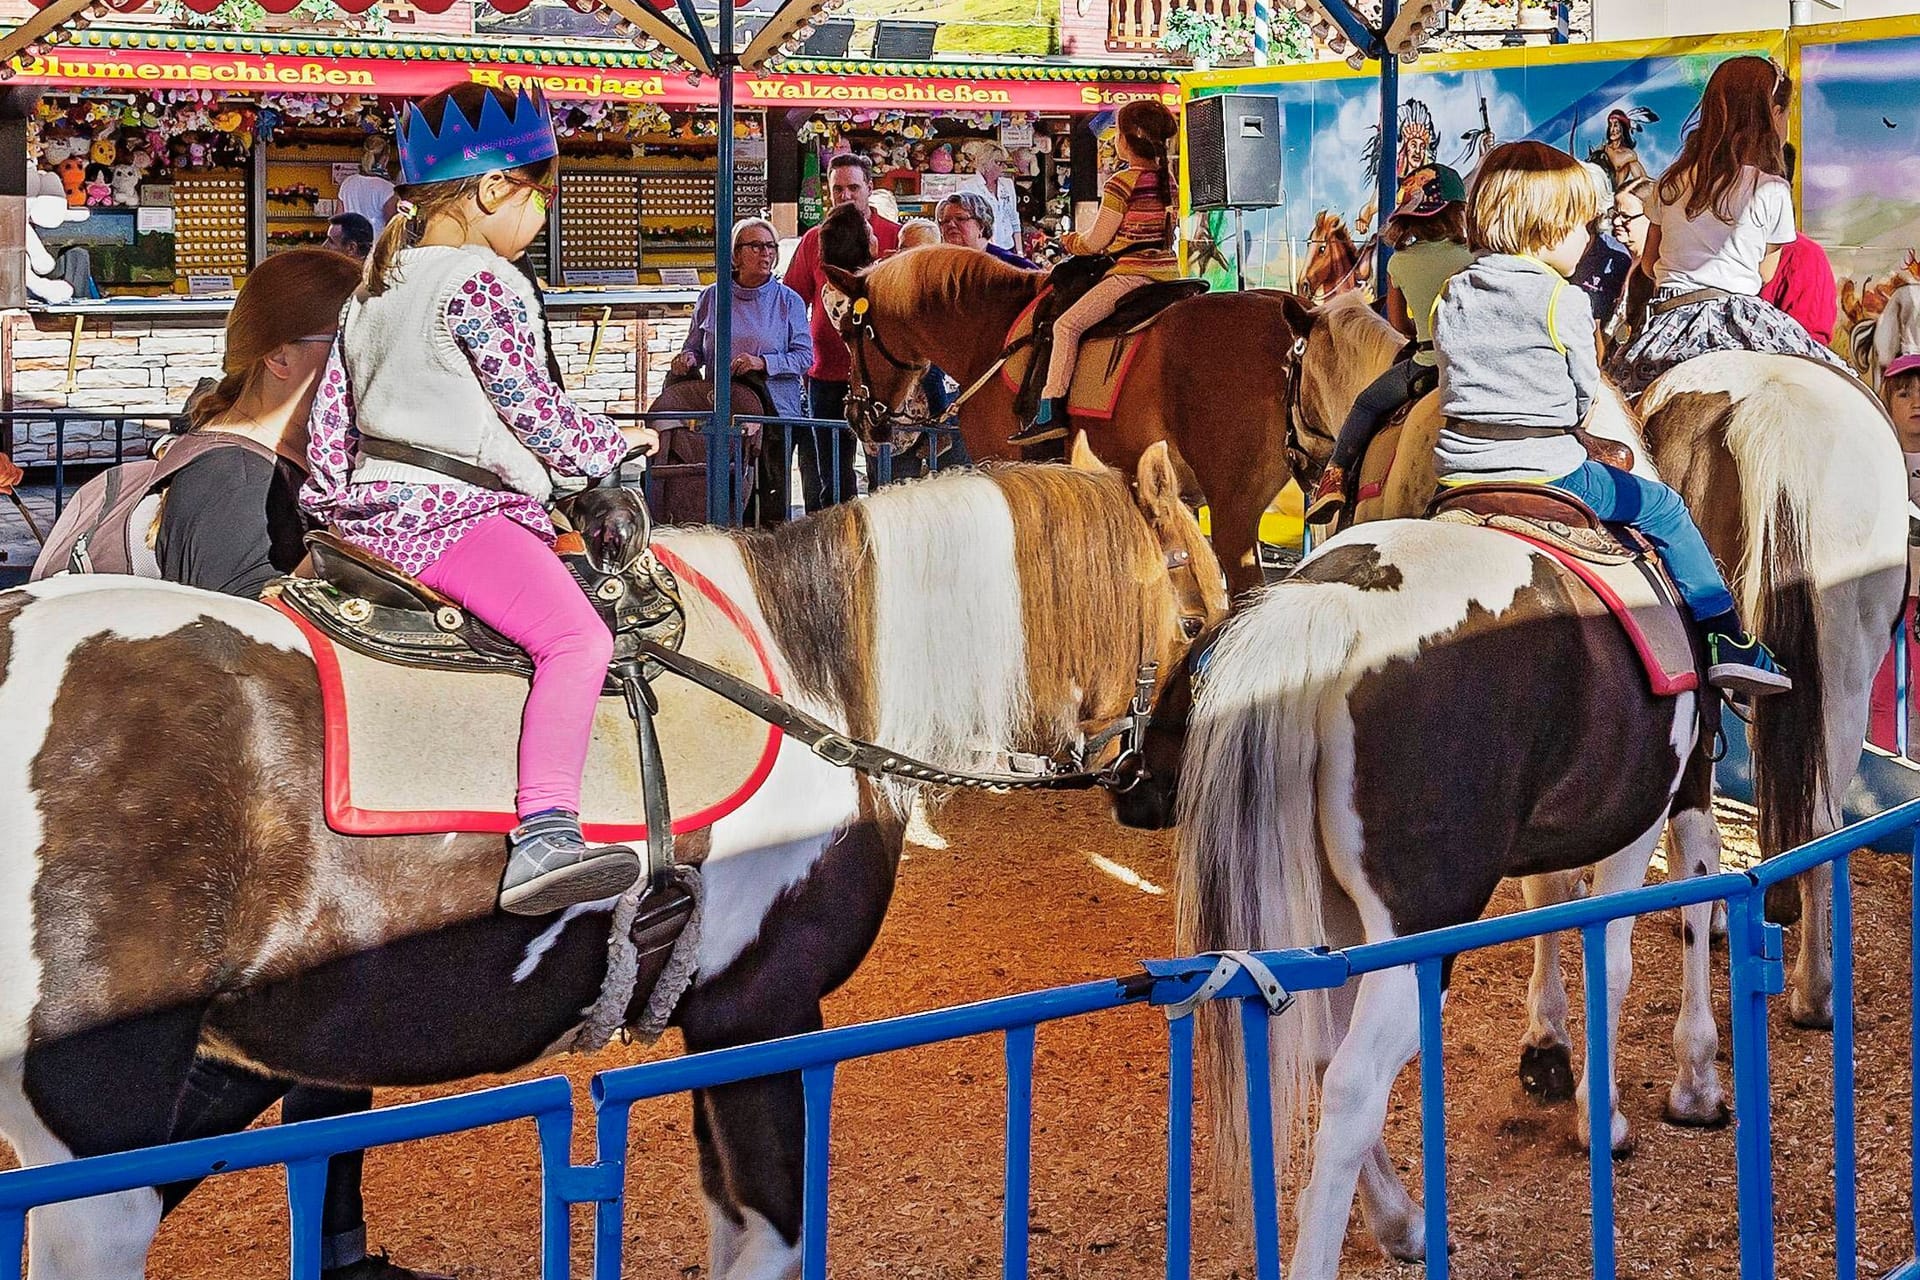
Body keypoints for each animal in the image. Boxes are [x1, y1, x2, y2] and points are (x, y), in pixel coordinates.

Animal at [0, 449, 1228, 1280]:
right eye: (1198, 617)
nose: (1166, 792)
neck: (815, 671)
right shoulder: (759, 1008)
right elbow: (770, 1235)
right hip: (88, 1122)